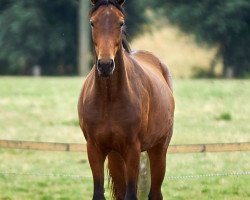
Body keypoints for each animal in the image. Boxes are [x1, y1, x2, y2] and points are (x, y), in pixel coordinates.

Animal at [77, 0, 174, 199]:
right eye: (92, 22)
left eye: (121, 23)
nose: (106, 65)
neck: (109, 99)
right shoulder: (94, 149)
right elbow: (99, 193)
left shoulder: (132, 150)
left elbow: (131, 194)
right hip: (116, 156)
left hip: (158, 150)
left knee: (155, 192)